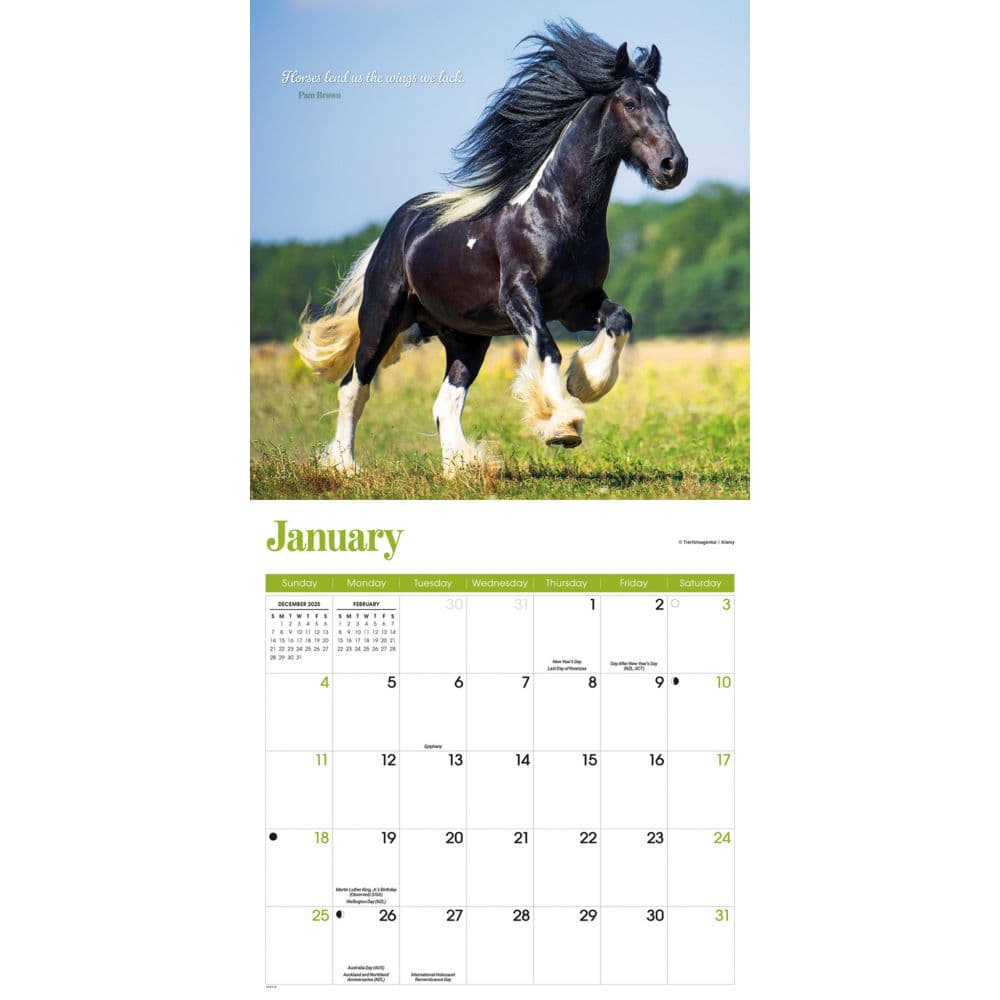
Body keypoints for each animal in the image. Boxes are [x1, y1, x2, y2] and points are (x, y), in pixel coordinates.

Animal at [295, 20, 687, 476]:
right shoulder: (520, 296)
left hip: (468, 337)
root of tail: (397, 228)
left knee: (445, 402)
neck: (555, 213)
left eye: (665, 102)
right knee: (353, 387)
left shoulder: (577, 303)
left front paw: (585, 383)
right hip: (382, 315)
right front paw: (563, 423)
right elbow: (547, 348)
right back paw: (344, 466)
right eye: (629, 102)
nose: (674, 165)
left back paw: (462, 468)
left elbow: (620, 319)